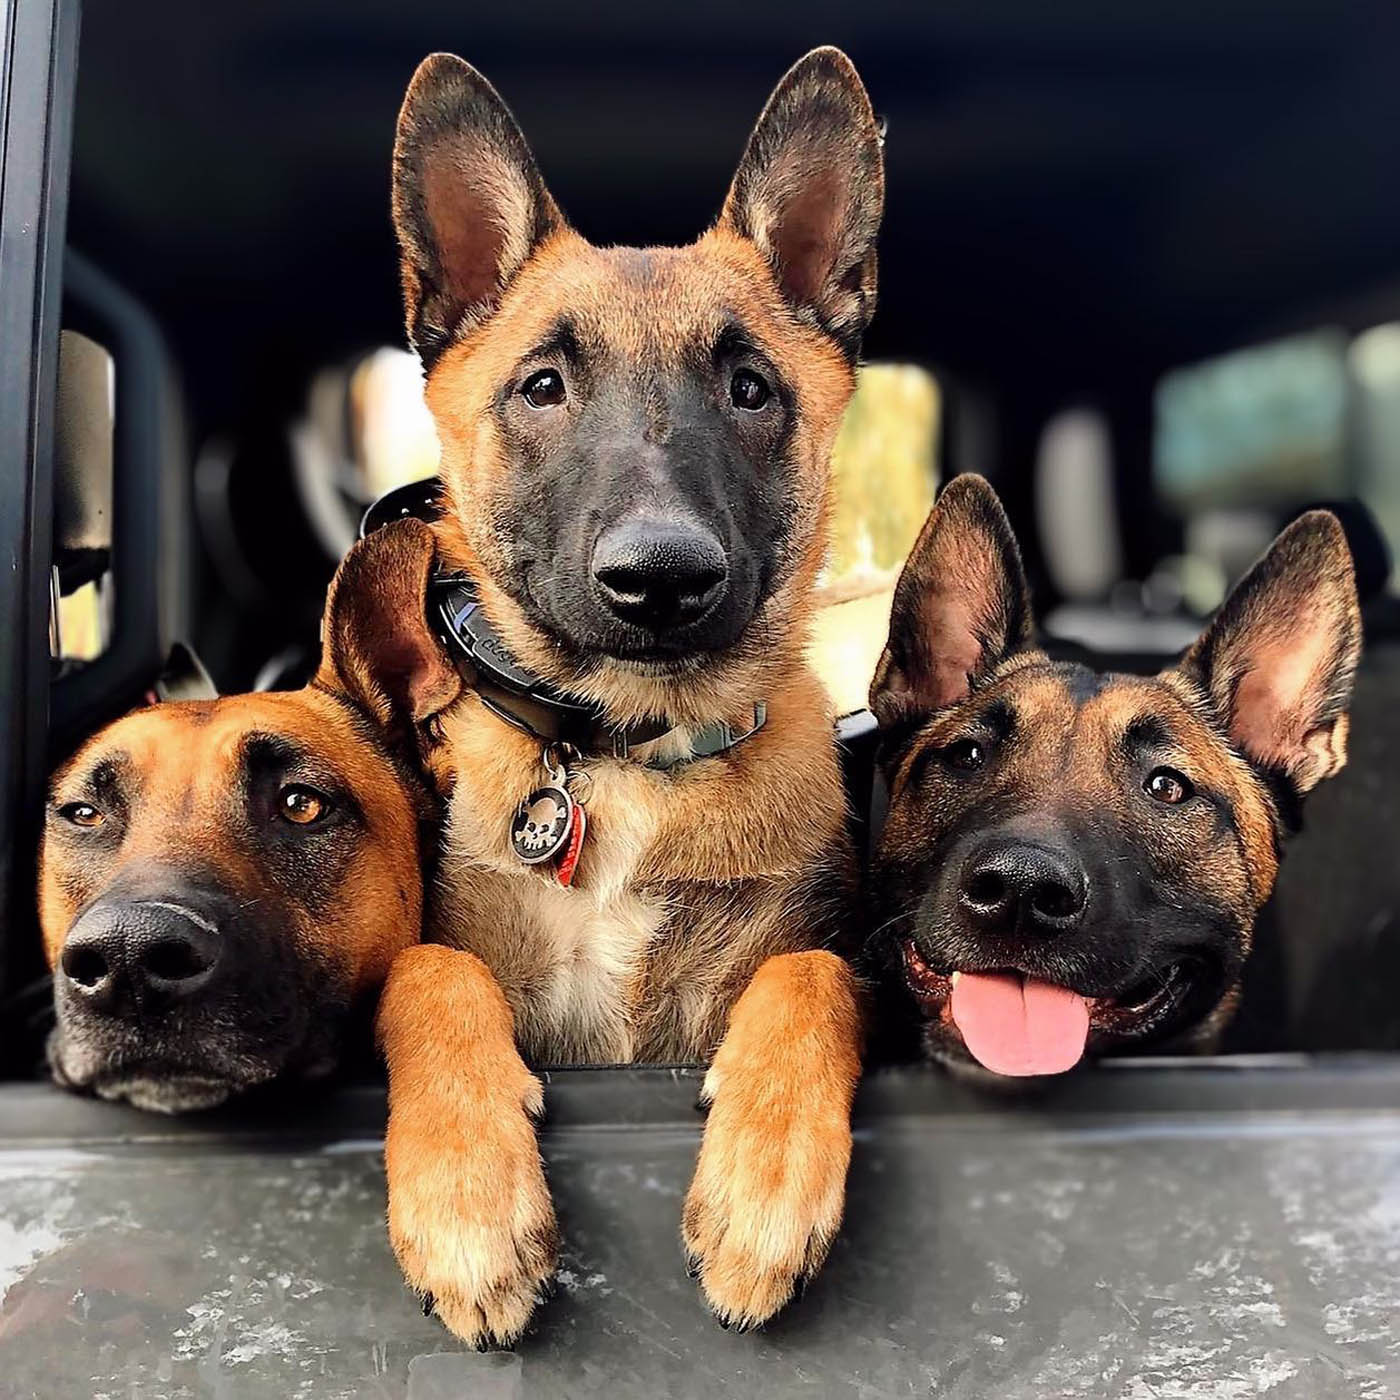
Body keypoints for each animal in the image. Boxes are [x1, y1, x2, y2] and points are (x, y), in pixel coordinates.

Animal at [364, 46, 884, 1344]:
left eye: (749, 387)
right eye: (542, 385)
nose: (660, 578)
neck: (627, 752)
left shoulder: (811, 949)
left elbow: (810, 976)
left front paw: (764, 1174)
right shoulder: (454, 953)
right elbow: (425, 971)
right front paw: (468, 1197)